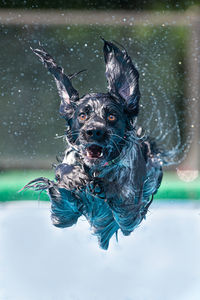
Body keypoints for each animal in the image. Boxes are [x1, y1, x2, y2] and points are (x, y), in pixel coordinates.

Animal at [24, 40, 163, 251]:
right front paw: (73, 176)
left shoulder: (130, 215)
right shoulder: (62, 214)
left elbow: (123, 204)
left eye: (111, 116)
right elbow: (63, 178)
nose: (94, 131)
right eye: (82, 115)